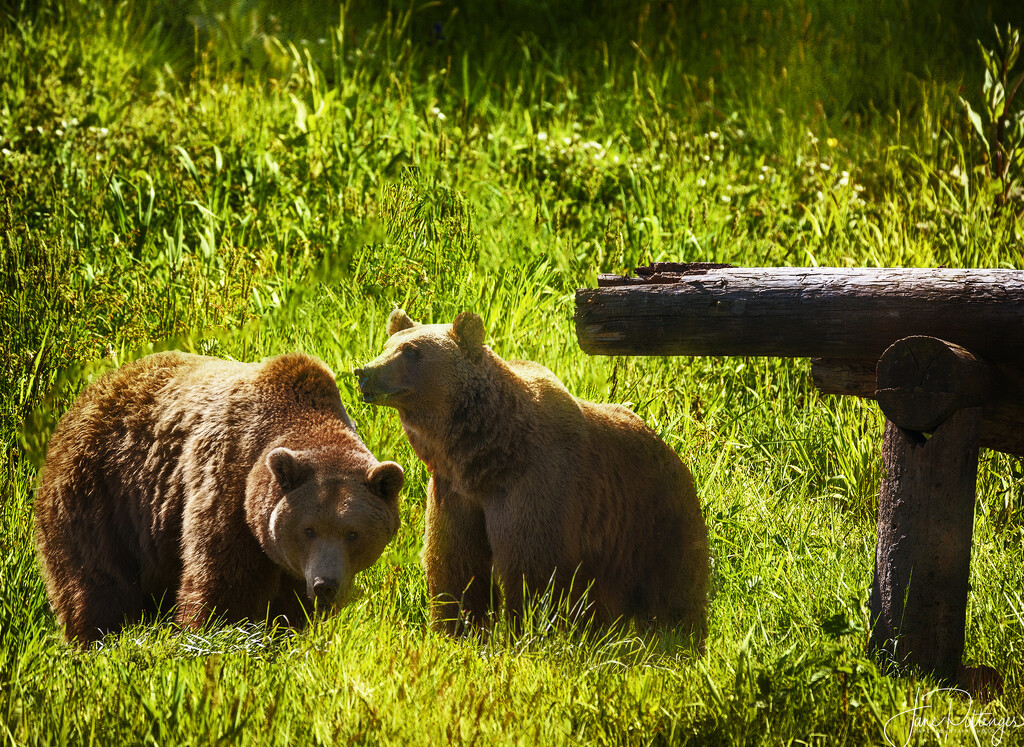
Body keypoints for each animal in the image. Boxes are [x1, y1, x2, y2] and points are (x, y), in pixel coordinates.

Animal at [36, 346, 403, 643]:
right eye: (308, 529)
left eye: (352, 533)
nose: (325, 584)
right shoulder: (227, 487)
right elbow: (223, 585)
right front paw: (215, 634)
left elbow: (291, 607)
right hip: (101, 495)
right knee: (96, 580)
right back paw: (94, 639)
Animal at [356, 305, 708, 639]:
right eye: (387, 345)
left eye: (411, 350)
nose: (365, 372)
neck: (485, 455)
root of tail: (674, 454)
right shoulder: (454, 493)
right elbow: (456, 566)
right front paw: (457, 632)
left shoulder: (536, 485)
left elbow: (531, 569)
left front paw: (528, 632)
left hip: (656, 519)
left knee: (675, 590)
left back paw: (678, 639)